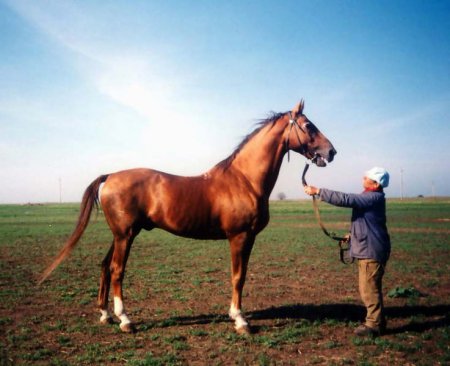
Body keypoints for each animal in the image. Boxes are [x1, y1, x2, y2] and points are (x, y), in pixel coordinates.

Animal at [39, 100, 334, 334]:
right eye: (308, 126)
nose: (331, 152)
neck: (245, 180)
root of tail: (110, 176)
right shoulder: (239, 237)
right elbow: (238, 276)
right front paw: (240, 320)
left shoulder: (247, 239)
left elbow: (241, 275)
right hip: (125, 236)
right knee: (117, 270)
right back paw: (125, 320)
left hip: (122, 234)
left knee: (104, 266)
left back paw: (105, 315)